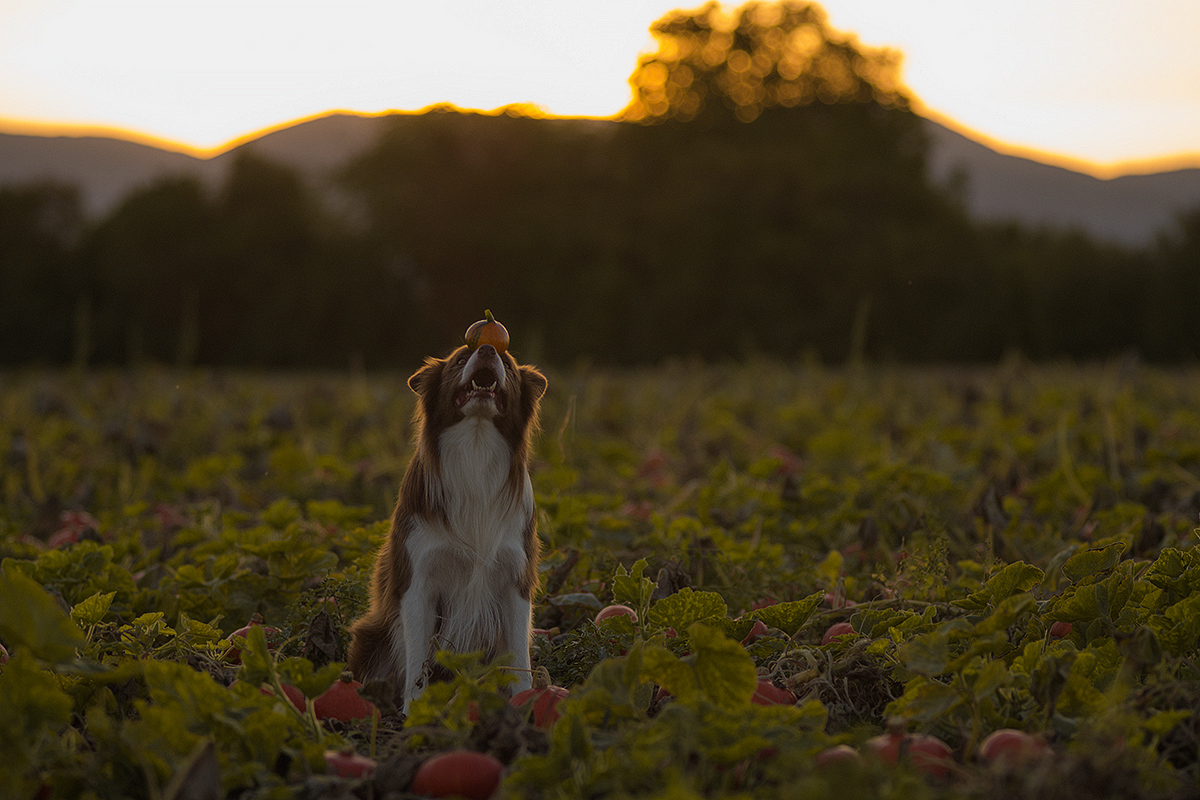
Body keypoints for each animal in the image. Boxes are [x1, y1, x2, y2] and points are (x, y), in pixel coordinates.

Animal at [348, 340, 549, 710]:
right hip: (371, 635)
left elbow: (519, 656)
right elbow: (417, 658)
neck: (476, 447)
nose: (488, 350)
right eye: (460, 359)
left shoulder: (516, 579)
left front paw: (525, 699)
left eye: (508, 365)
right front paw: (416, 709)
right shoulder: (418, 582)